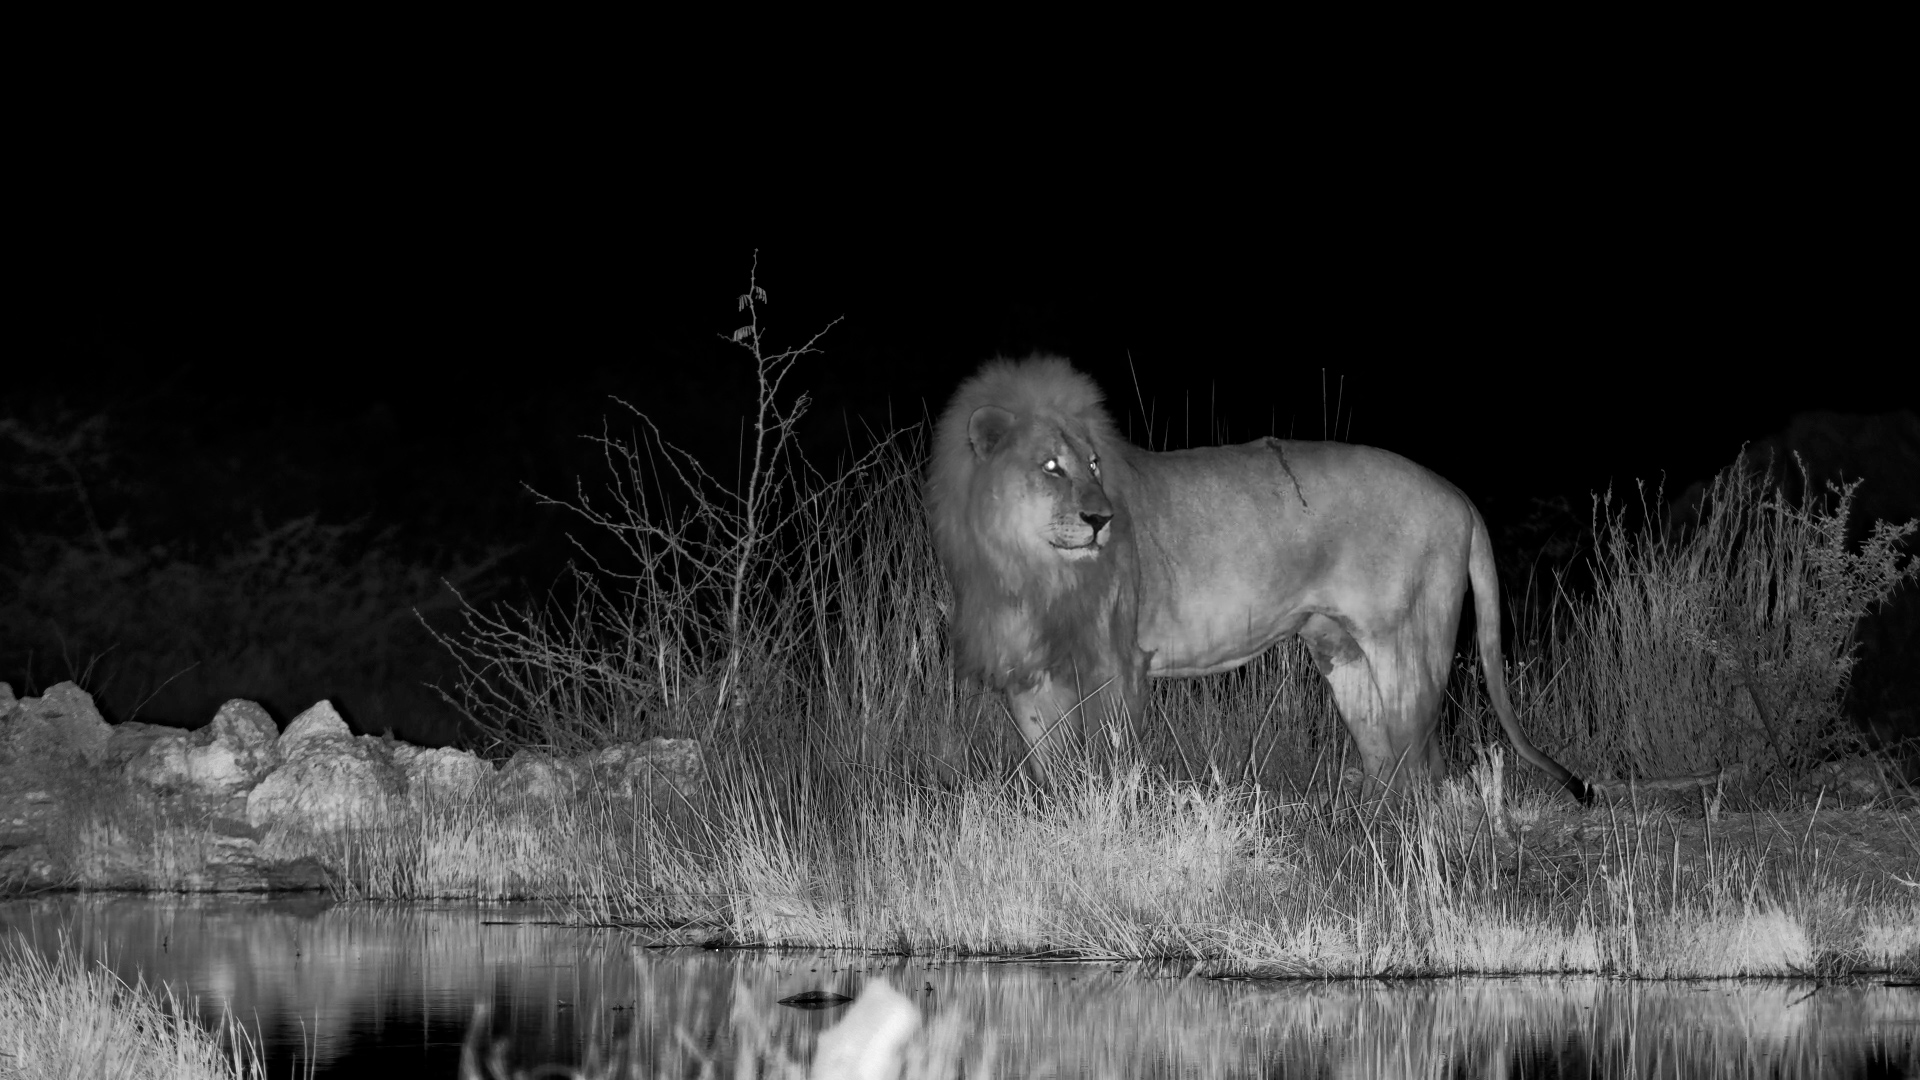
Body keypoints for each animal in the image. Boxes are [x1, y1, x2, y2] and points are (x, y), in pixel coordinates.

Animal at [925, 355, 1587, 799]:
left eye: (1092, 464)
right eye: (1050, 467)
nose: (1101, 519)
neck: (1026, 568)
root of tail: (1458, 495)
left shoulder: (1114, 662)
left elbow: (1110, 761)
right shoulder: (1026, 674)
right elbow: (1052, 765)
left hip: (1408, 647)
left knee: (1426, 765)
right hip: (1340, 652)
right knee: (1387, 758)